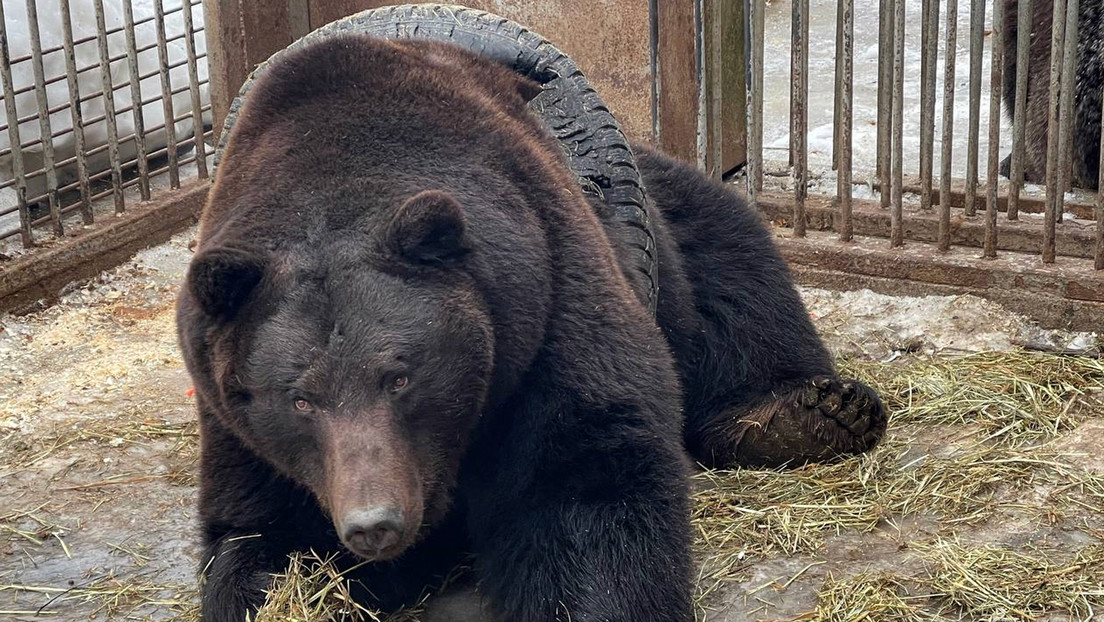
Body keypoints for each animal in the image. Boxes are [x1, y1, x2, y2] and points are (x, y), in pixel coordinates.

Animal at [177, 34, 886, 622]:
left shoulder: (542, 299)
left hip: (668, 231)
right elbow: (262, 538)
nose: (374, 522)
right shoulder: (242, 425)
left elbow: (580, 482)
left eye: (400, 376)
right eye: (299, 399)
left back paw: (809, 413)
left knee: (732, 269)